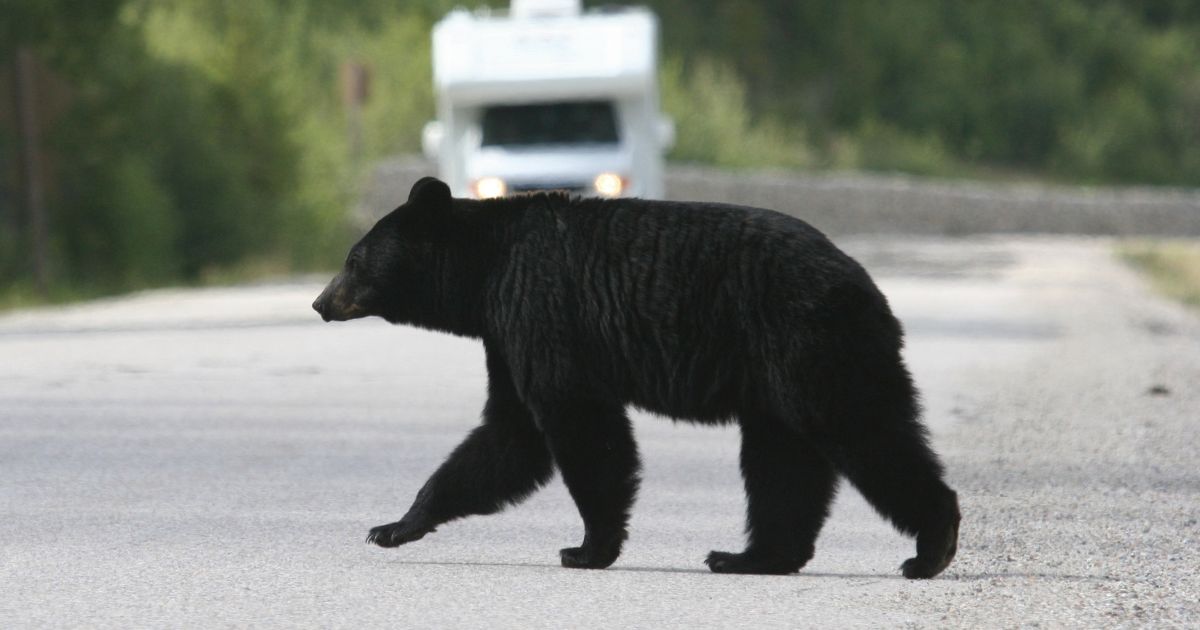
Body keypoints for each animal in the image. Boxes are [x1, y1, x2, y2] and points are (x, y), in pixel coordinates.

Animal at [312, 177, 960, 578]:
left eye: (353, 258)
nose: (320, 302)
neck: (486, 271)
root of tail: (869, 287)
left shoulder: (541, 309)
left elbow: (576, 427)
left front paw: (586, 548)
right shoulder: (506, 333)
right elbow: (509, 435)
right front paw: (395, 525)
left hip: (811, 345)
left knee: (865, 431)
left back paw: (930, 549)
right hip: (777, 379)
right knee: (782, 463)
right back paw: (749, 556)